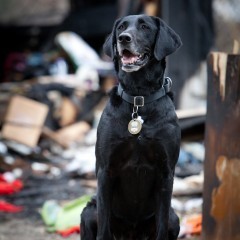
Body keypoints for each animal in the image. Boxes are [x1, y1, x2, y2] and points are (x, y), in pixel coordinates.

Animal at [80, 14, 182, 239]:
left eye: (144, 27)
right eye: (121, 27)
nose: (123, 38)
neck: (139, 98)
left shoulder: (166, 172)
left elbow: (161, 226)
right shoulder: (106, 170)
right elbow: (104, 228)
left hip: (175, 218)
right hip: (88, 212)